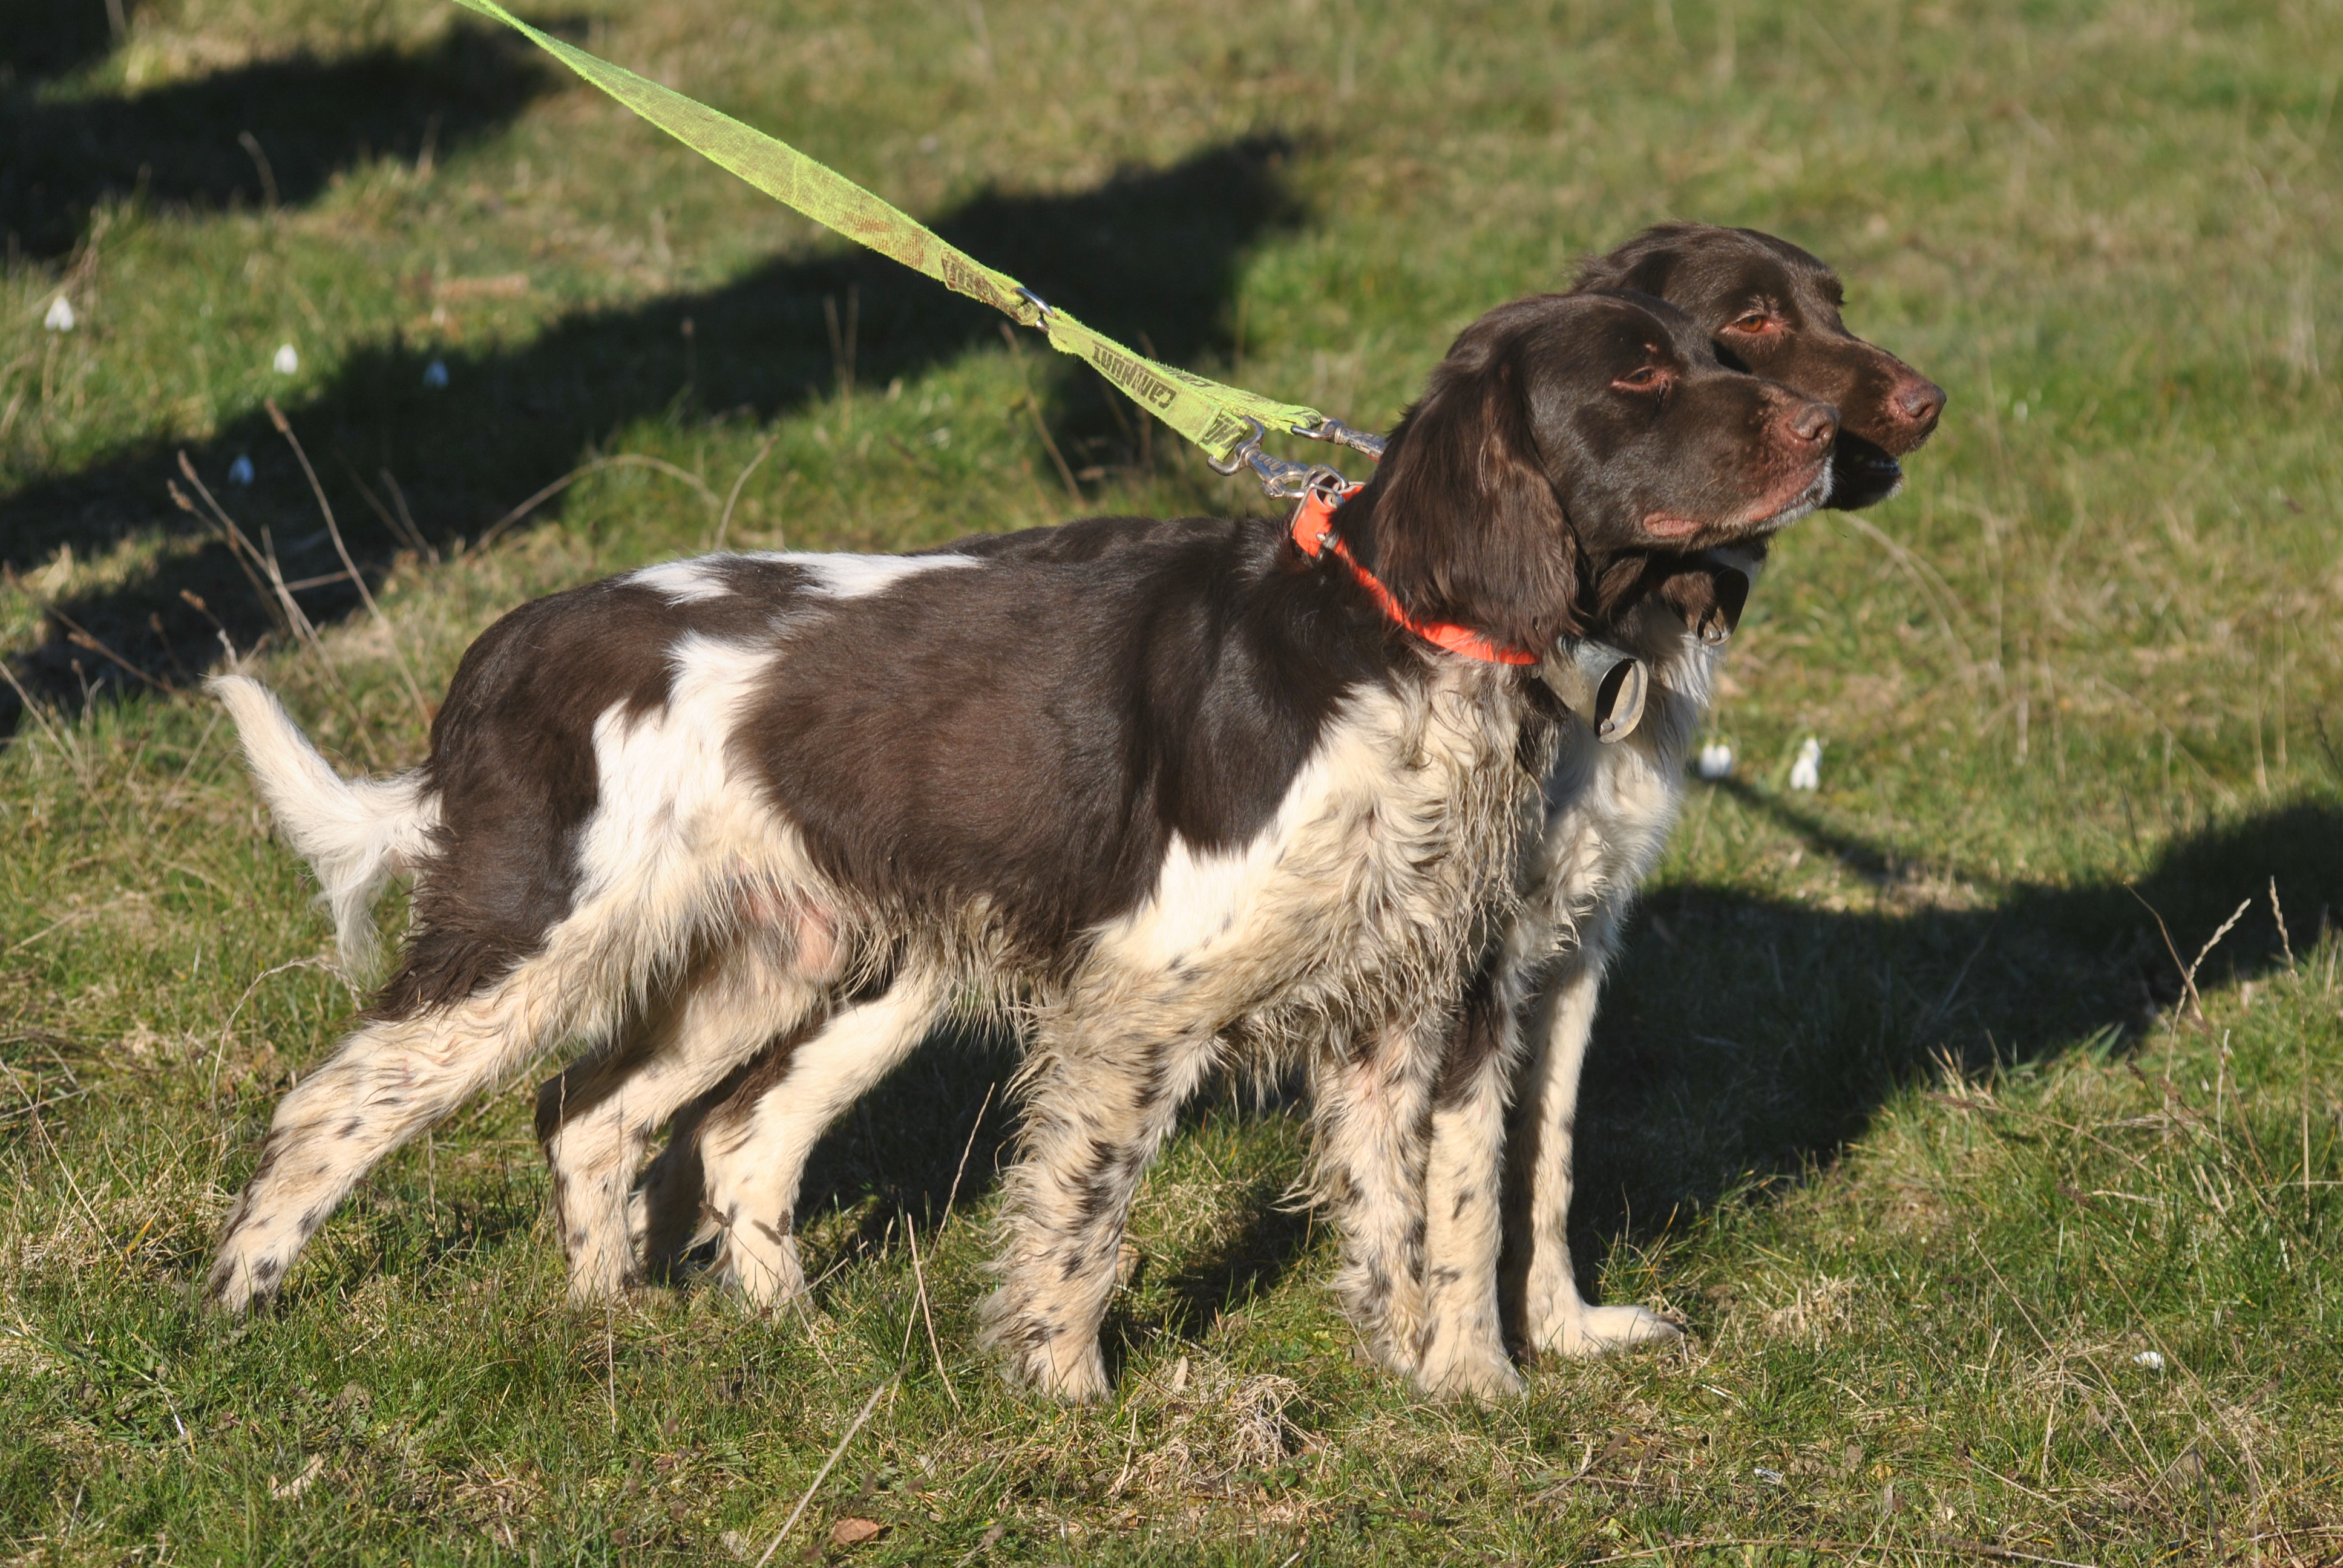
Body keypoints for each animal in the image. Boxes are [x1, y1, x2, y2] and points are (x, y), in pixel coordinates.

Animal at [206, 284, 1827, 1397]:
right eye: (1638, 374)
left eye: (1714, 346)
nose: (1824, 433)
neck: (1400, 642)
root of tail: (508, 648)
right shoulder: (1143, 1000)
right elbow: (1084, 1213)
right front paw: (1065, 1394)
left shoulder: (1404, 1000)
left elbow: (1406, 1218)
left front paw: (1413, 1395)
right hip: (538, 938)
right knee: (337, 1104)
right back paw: (234, 1302)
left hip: (803, 961)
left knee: (651, 1121)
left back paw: (675, 1328)